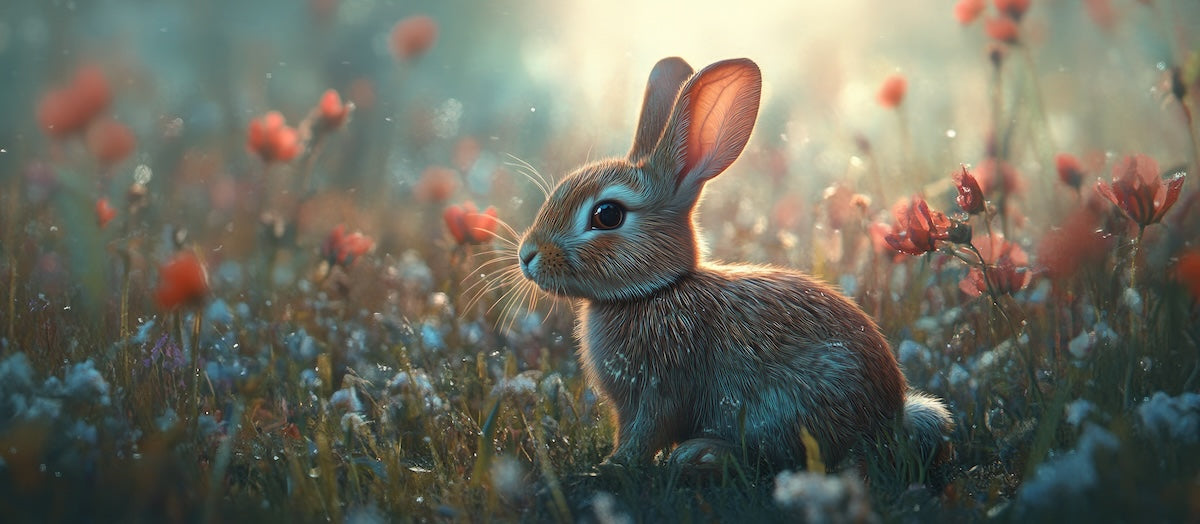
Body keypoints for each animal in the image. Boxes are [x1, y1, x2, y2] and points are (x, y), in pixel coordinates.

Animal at [516, 57, 953, 472]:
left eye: (607, 215)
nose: (527, 256)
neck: (657, 291)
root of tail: (892, 420)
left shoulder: (661, 390)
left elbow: (646, 432)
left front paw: (613, 466)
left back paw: (703, 454)